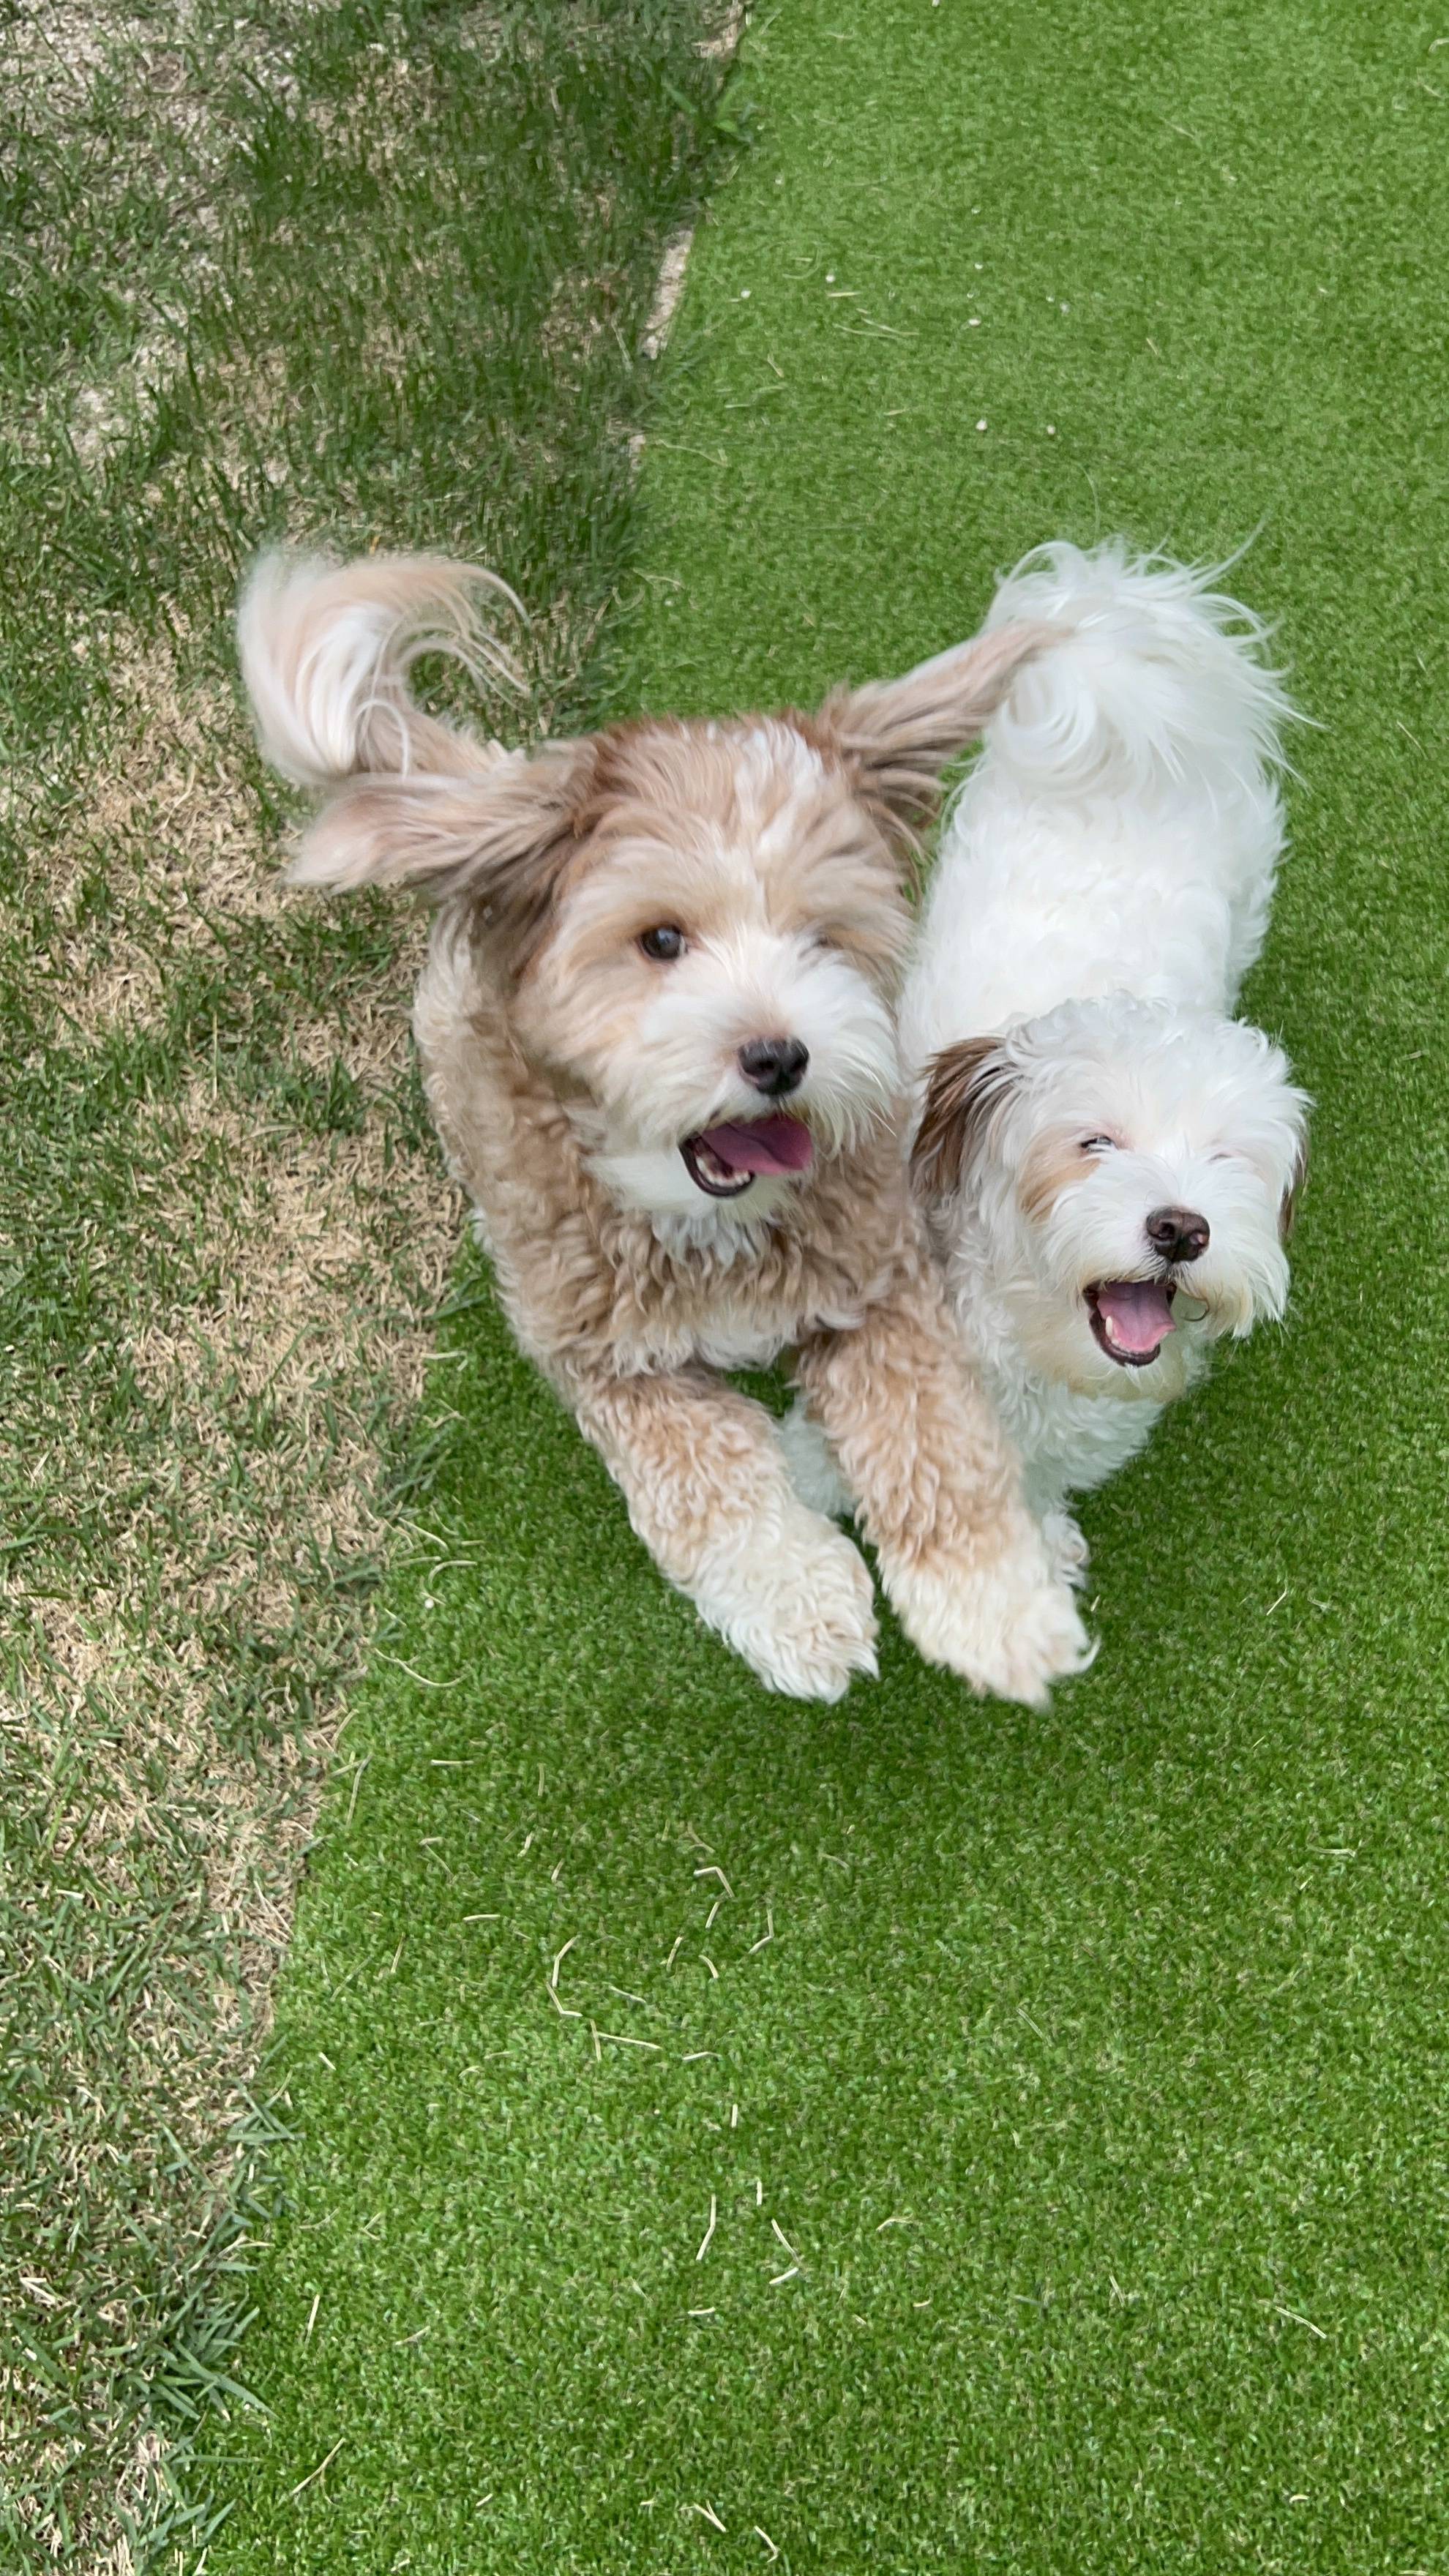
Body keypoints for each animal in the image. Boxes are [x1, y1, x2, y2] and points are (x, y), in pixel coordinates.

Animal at [784, 538, 1304, 1566]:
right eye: (1093, 1142)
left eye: (1230, 1160)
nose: (1182, 1228)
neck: (1025, 1329)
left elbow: (1035, 1477)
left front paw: (1038, 1533)